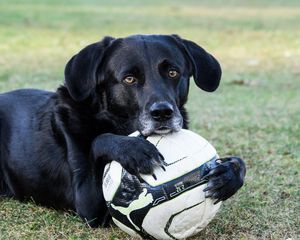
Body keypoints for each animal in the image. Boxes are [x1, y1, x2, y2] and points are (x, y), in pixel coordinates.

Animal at [0, 34, 245, 227]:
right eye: (129, 79)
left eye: (173, 73)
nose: (162, 113)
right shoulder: (88, 204)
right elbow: (99, 139)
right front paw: (134, 150)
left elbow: (239, 162)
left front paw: (228, 174)